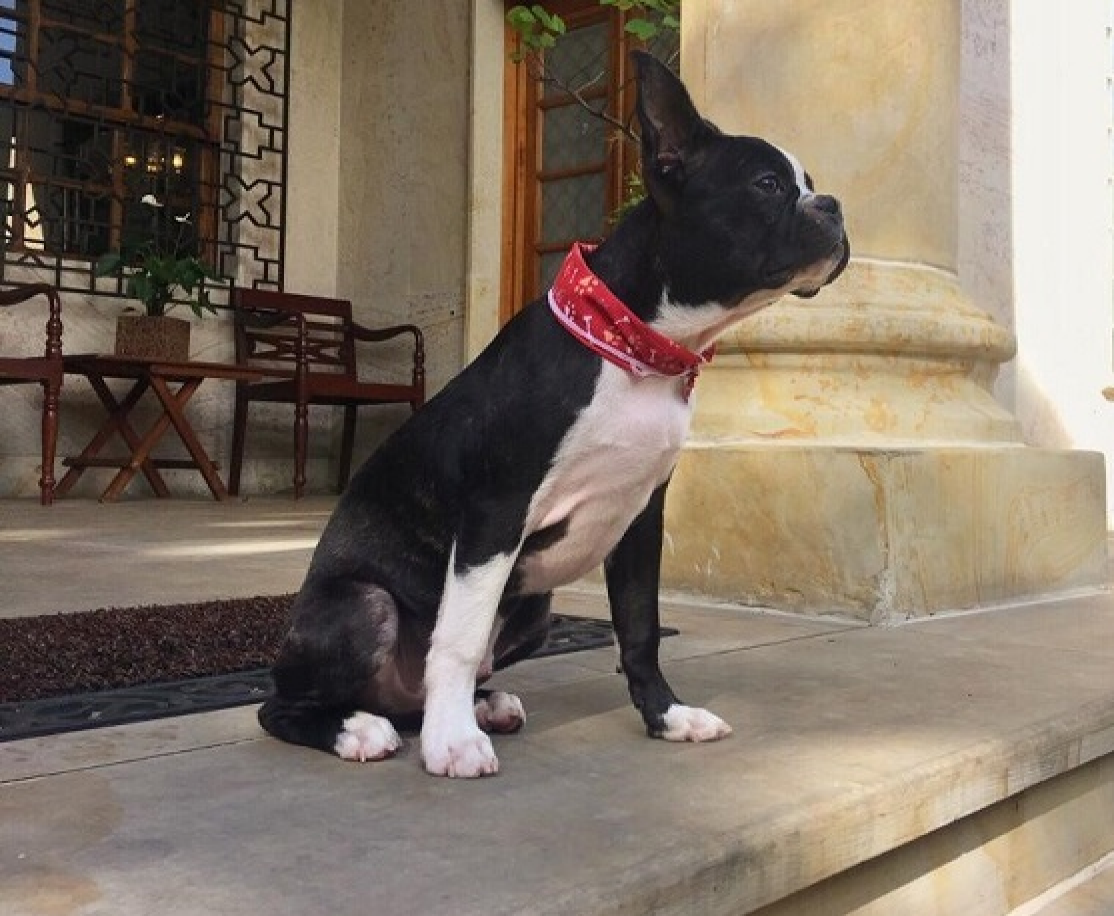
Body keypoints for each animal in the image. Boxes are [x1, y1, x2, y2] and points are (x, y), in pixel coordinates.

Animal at [258, 51, 848, 777]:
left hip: (535, 609)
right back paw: (361, 729)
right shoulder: (494, 511)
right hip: (362, 606)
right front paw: (451, 743)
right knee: (285, 706)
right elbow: (458, 636)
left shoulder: (640, 517)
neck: (631, 347)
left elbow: (640, 629)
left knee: (418, 690)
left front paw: (667, 716)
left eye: (809, 184)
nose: (833, 205)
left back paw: (477, 706)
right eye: (767, 185)